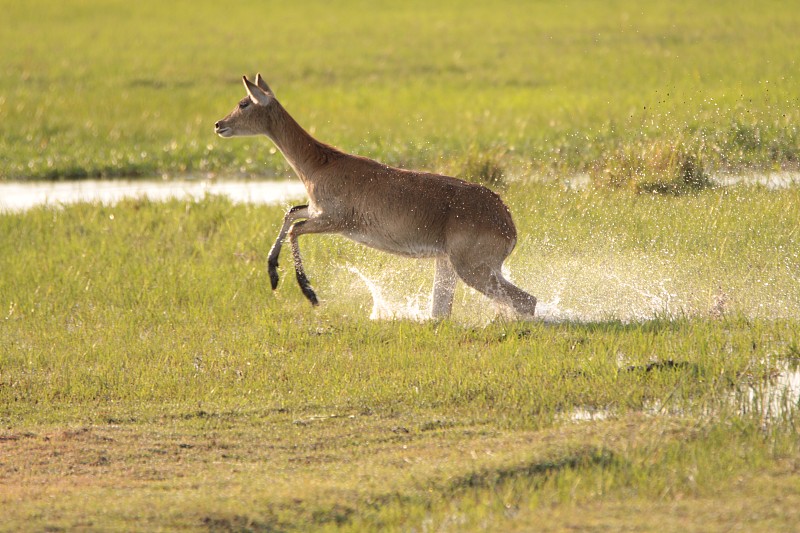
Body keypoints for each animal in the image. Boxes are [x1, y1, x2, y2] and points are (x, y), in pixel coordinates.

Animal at [216, 72, 536, 318]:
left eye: (244, 102)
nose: (219, 124)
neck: (321, 164)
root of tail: (509, 223)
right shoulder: (318, 212)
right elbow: (291, 212)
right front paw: (272, 274)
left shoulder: (335, 221)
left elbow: (295, 228)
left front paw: (310, 294)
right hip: (452, 264)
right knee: (444, 311)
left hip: (471, 268)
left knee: (526, 301)